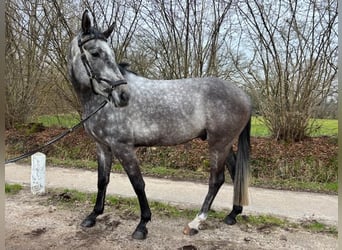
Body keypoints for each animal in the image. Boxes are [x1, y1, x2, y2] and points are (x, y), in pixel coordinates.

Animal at [68, 10, 251, 239]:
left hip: (219, 144)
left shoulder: (123, 147)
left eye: (109, 53)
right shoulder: (102, 147)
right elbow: (102, 181)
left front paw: (142, 224)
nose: (123, 95)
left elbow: (138, 183)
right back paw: (233, 214)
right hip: (225, 144)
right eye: (94, 53)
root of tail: (244, 95)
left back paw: (195, 223)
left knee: (216, 180)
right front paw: (93, 215)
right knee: (235, 172)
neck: (100, 102)